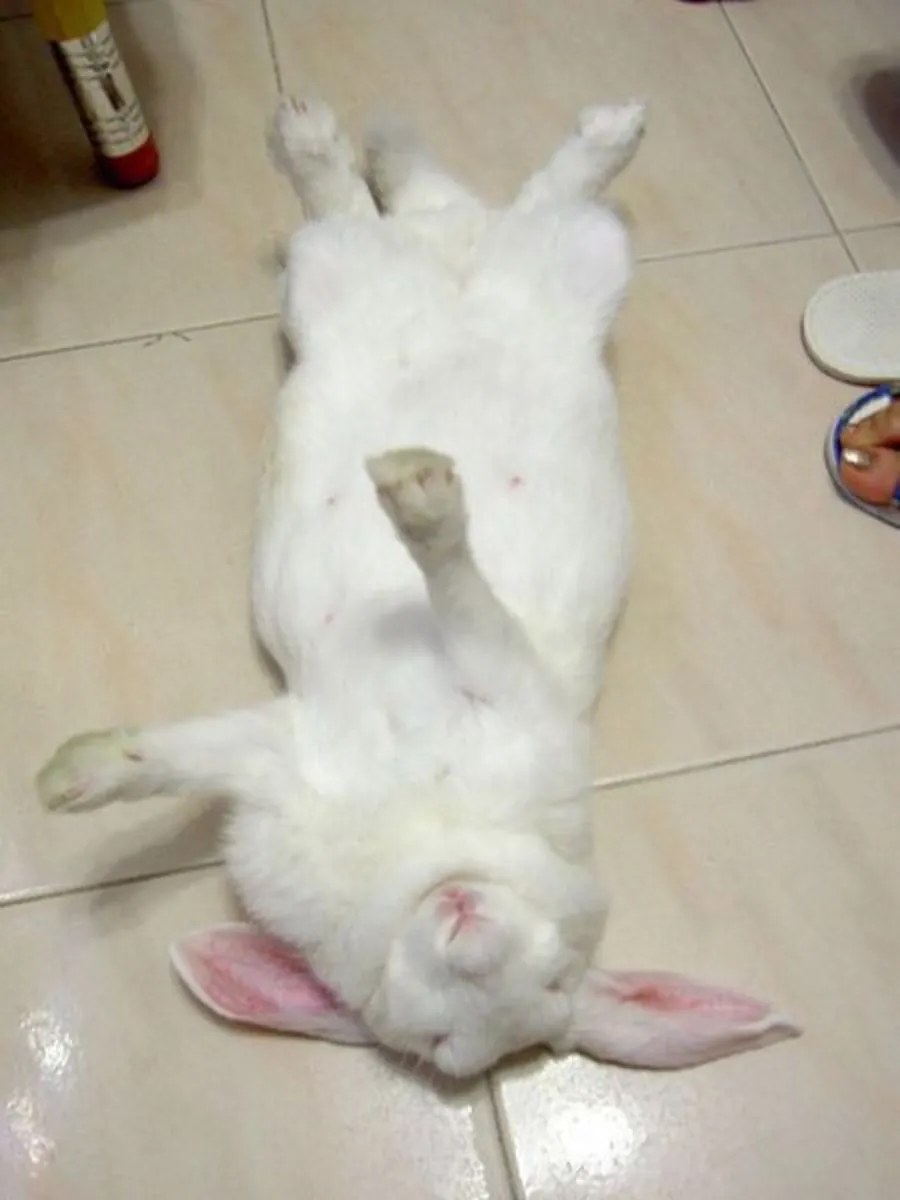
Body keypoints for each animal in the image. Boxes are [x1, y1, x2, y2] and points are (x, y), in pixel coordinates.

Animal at [36, 97, 799, 1079]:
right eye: (436, 1039)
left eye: (553, 981)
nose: (465, 928)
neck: (425, 828)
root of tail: (454, 247)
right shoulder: (305, 745)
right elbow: (174, 759)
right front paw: (70, 777)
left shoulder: (438, 691)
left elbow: (453, 586)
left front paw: (419, 498)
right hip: (372, 276)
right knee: (445, 203)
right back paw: (368, 137)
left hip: (521, 269)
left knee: (492, 204)